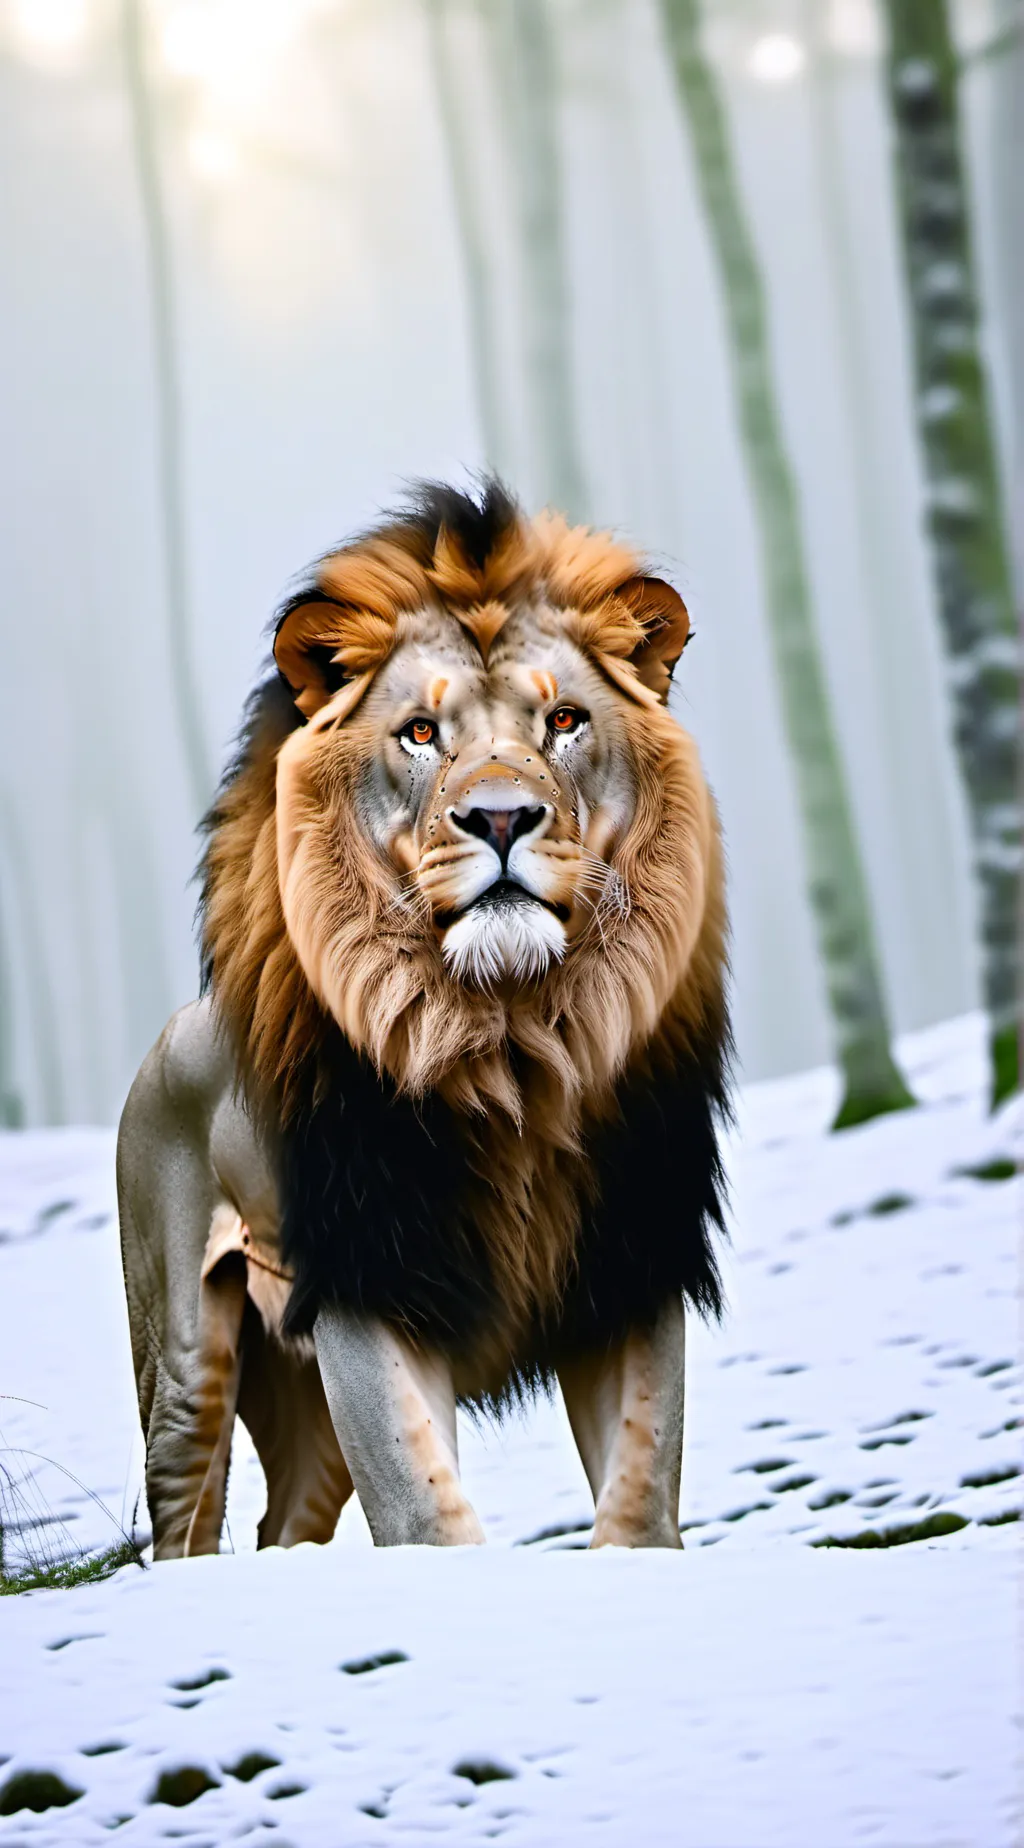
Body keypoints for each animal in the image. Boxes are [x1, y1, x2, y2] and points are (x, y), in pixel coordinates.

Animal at [117, 480, 730, 1557]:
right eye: (416, 733)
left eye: (564, 720)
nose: (500, 817)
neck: (512, 1029)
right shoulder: (371, 1283)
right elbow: (427, 1513)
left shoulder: (628, 1263)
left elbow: (639, 1496)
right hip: (187, 1362)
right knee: (183, 1527)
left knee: (284, 1526)